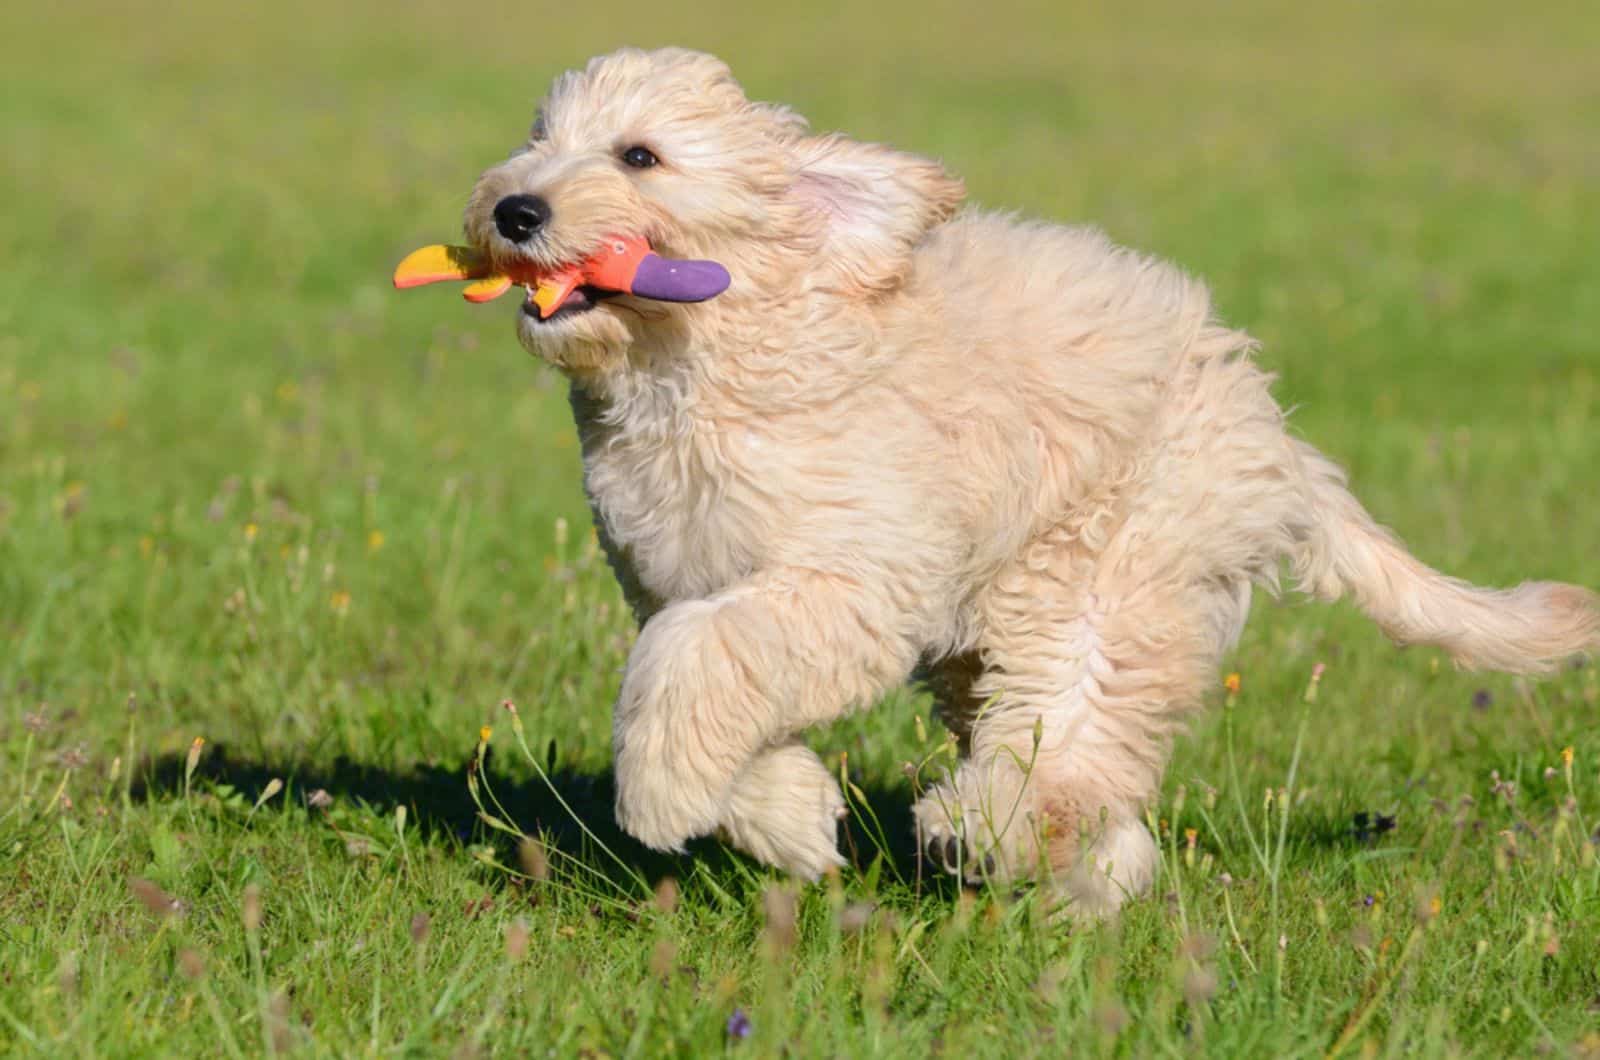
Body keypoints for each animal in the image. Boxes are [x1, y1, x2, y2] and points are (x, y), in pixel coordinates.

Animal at [454, 47, 1600, 915]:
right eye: (539, 135)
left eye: (639, 155)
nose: (513, 208)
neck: (710, 358)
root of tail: (1273, 434)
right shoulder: (678, 573)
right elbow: (706, 673)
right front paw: (787, 820)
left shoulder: (846, 575)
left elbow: (695, 658)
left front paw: (659, 791)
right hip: (995, 628)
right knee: (1082, 767)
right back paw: (1084, 878)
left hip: (1113, 569)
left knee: (1071, 734)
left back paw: (984, 831)